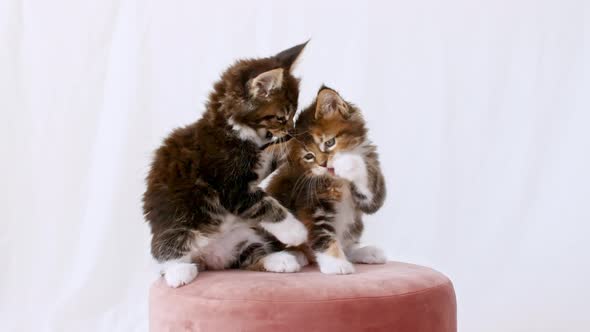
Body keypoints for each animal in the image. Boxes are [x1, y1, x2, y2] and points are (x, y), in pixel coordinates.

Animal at [144, 42, 312, 288]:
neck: (230, 130)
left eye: (293, 114)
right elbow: (266, 205)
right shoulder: (231, 186)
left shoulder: (258, 164)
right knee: (166, 254)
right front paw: (295, 231)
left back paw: (284, 259)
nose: (291, 130)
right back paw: (180, 272)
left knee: (252, 257)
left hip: (243, 237)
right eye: (281, 117)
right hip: (176, 225)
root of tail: (211, 259)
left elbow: (275, 152)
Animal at [268, 86, 388, 274]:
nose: (324, 164)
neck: (338, 182)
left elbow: (371, 191)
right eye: (309, 156)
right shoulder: (312, 204)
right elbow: (322, 234)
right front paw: (336, 264)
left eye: (329, 142)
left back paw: (366, 252)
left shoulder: (372, 194)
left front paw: (347, 162)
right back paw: (294, 256)